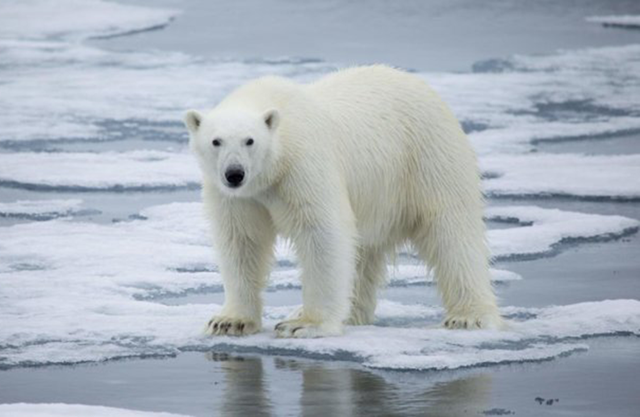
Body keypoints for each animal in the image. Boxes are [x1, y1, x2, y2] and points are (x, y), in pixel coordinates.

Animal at [182, 66, 502, 338]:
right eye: (216, 141)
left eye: (250, 140)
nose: (234, 173)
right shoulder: (237, 197)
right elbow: (241, 240)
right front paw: (229, 321)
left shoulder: (303, 165)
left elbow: (322, 233)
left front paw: (304, 324)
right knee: (363, 254)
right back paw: (351, 312)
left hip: (427, 157)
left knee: (451, 231)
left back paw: (468, 316)